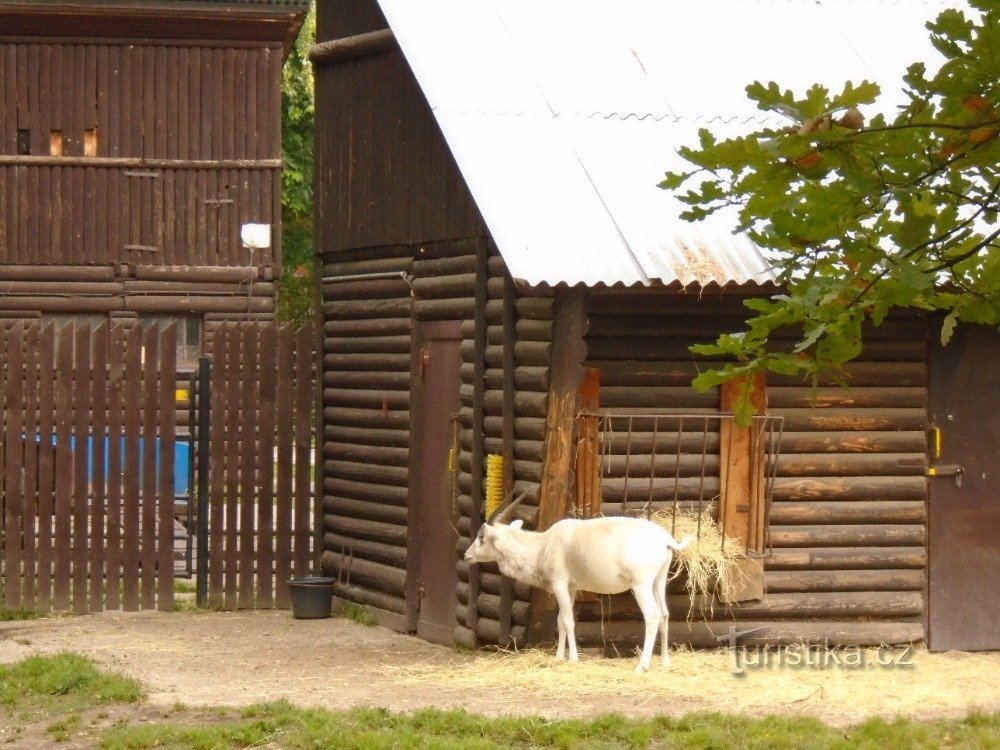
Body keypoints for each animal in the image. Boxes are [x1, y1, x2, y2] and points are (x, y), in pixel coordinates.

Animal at [464, 494, 692, 676]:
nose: (467, 556)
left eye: (481, 536)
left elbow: (568, 621)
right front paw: (558, 657)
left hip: (641, 585)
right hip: (658, 582)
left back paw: (642, 666)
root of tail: (665, 539)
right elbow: (559, 620)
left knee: (652, 616)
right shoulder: (571, 588)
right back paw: (664, 662)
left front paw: (573, 658)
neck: (545, 545)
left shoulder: (559, 584)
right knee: (664, 614)